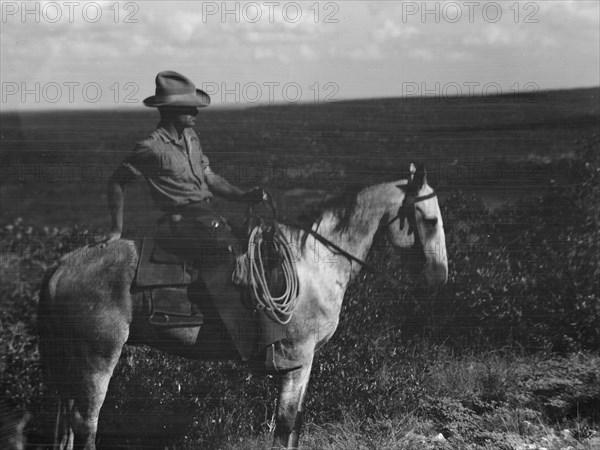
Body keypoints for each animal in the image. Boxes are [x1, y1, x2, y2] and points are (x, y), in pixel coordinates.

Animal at [38, 166, 446, 450]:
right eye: (429, 220)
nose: (439, 277)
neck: (314, 260)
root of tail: (61, 267)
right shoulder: (298, 357)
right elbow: (286, 423)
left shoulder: (305, 361)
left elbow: (294, 424)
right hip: (97, 357)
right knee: (86, 424)